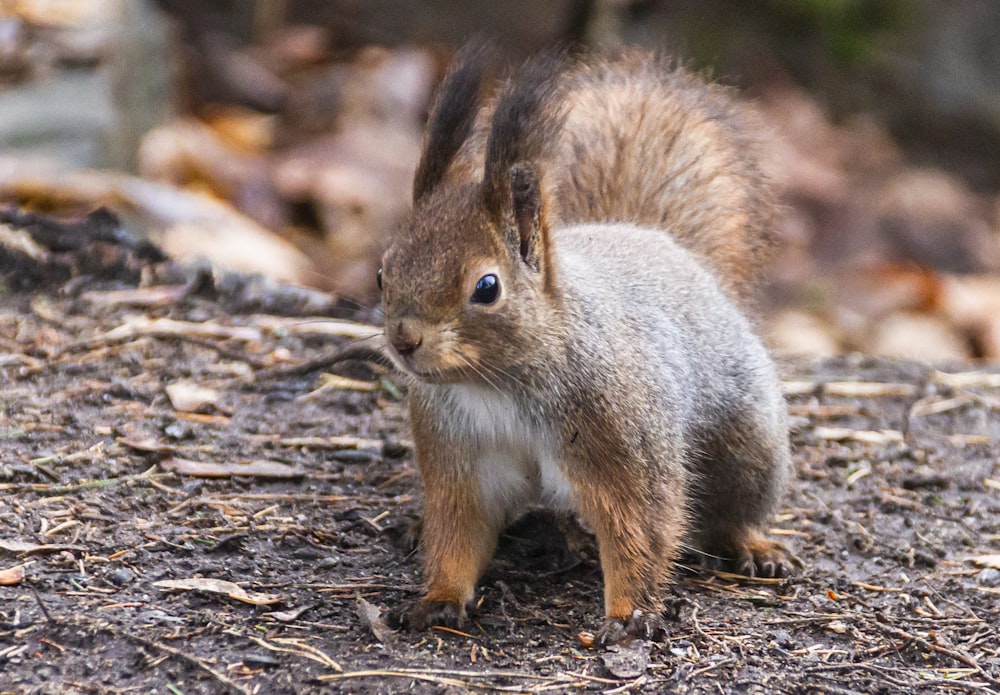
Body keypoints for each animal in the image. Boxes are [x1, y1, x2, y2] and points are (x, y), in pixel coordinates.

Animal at [378, 46, 792, 648]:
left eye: (487, 287)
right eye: (382, 271)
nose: (404, 340)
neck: (497, 386)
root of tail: (653, 238)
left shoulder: (623, 442)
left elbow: (640, 527)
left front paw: (629, 613)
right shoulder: (458, 458)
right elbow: (458, 531)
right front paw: (438, 598)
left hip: (750, 448)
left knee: (731, 509)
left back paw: (753, 546)